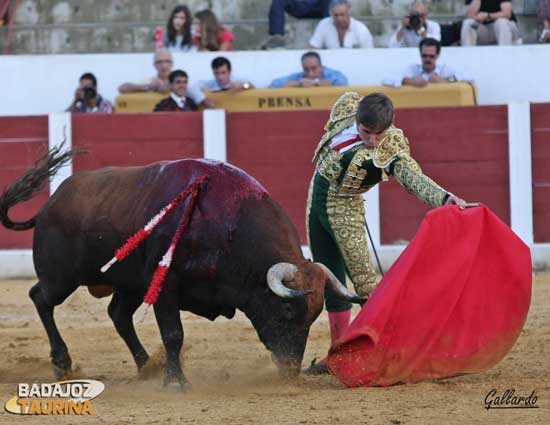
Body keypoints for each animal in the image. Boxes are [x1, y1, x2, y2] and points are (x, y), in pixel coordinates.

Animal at [1, 147, 366, 390]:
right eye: (288, 310)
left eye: (314, 315)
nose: (290, 371)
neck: (224, 224)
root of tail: (49, 205)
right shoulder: (166, 286)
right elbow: (174, 334)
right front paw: (176, 382)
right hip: (62, 277)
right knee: (41, 298)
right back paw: (62, 364)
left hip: (131, 284)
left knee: (118, 314)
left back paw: (147, 365)